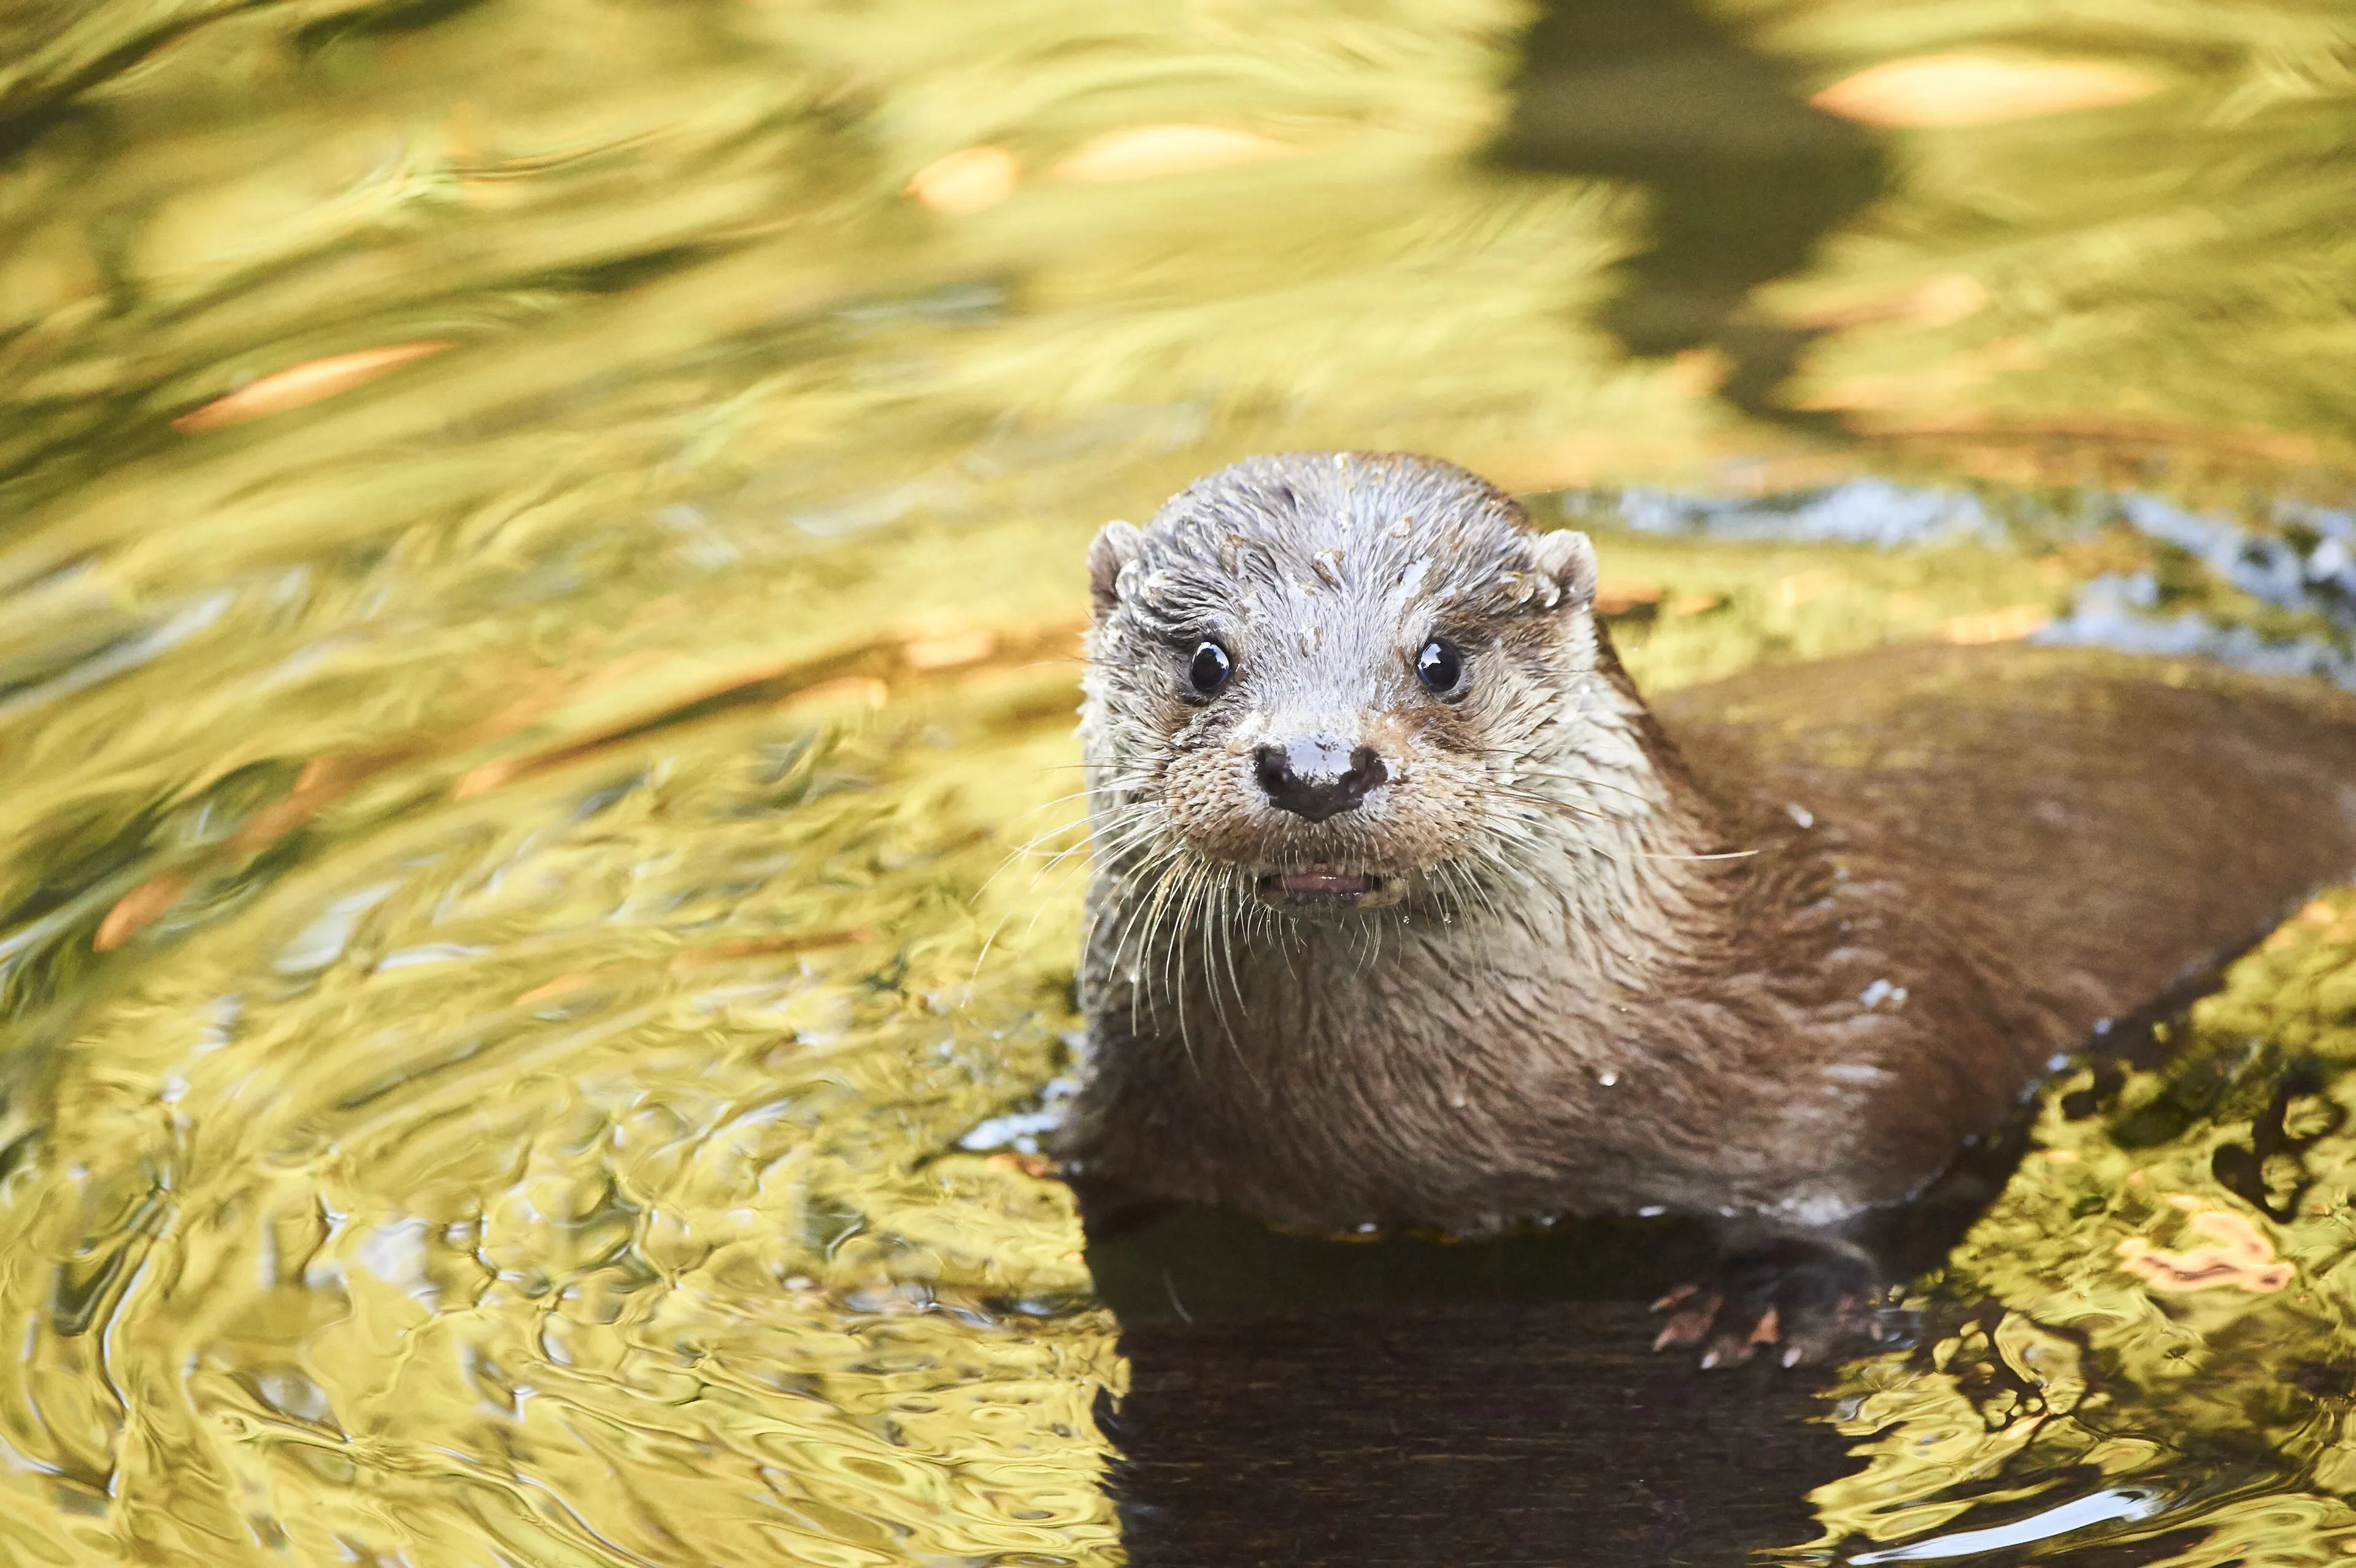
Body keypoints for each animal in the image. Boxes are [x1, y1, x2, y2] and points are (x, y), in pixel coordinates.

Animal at [1063, 450, 2356, 1364]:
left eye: (1440, 659)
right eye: (1208, 661)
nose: (1319, 763)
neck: (1427, 1138)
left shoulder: (1865, 1028)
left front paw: (1765, 1301)